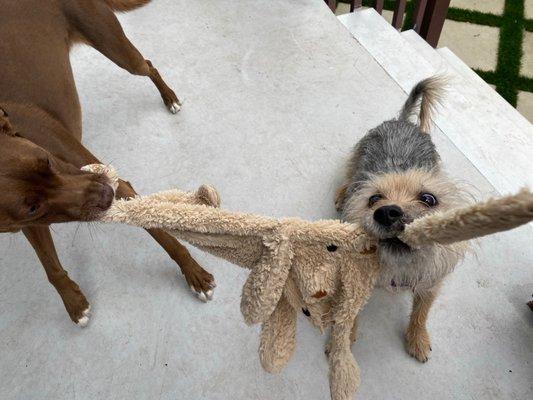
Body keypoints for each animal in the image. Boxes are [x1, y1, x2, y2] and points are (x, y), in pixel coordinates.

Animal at [1, 0, 214, 324]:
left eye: (46, 160)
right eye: (32, 207)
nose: (105, 194)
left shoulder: (115, 183)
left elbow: (158, 230)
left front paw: (193, 273)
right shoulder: (30, 224)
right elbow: (50, 267)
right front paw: (73, 302)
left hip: (119, 50)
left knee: (147, 64)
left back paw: (169, 97)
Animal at [336, 76, 466, 364]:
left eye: (428, 198)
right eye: (374, 199)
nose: (386, 212)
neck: (399, 268)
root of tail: (403, 121)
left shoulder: (429, 285)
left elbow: (421, 313)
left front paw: (417, 339)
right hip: (357, 157)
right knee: (349, 176)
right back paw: (341, 194)